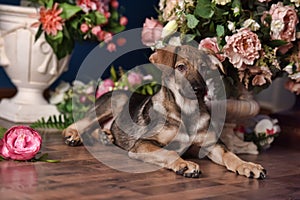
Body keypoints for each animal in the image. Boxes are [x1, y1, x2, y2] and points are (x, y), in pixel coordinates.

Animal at [62, 45, 268, 180]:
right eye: (181, 67)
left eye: (204, 68)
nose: (199, 90)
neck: (187, 112)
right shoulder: (143, 144)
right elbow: (169, 153)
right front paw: (185, 164)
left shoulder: (212, 144)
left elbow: (230, 155)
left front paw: (247, 165)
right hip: (116, 101)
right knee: (79, 123)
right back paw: (73, 135)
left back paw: (106, 137)